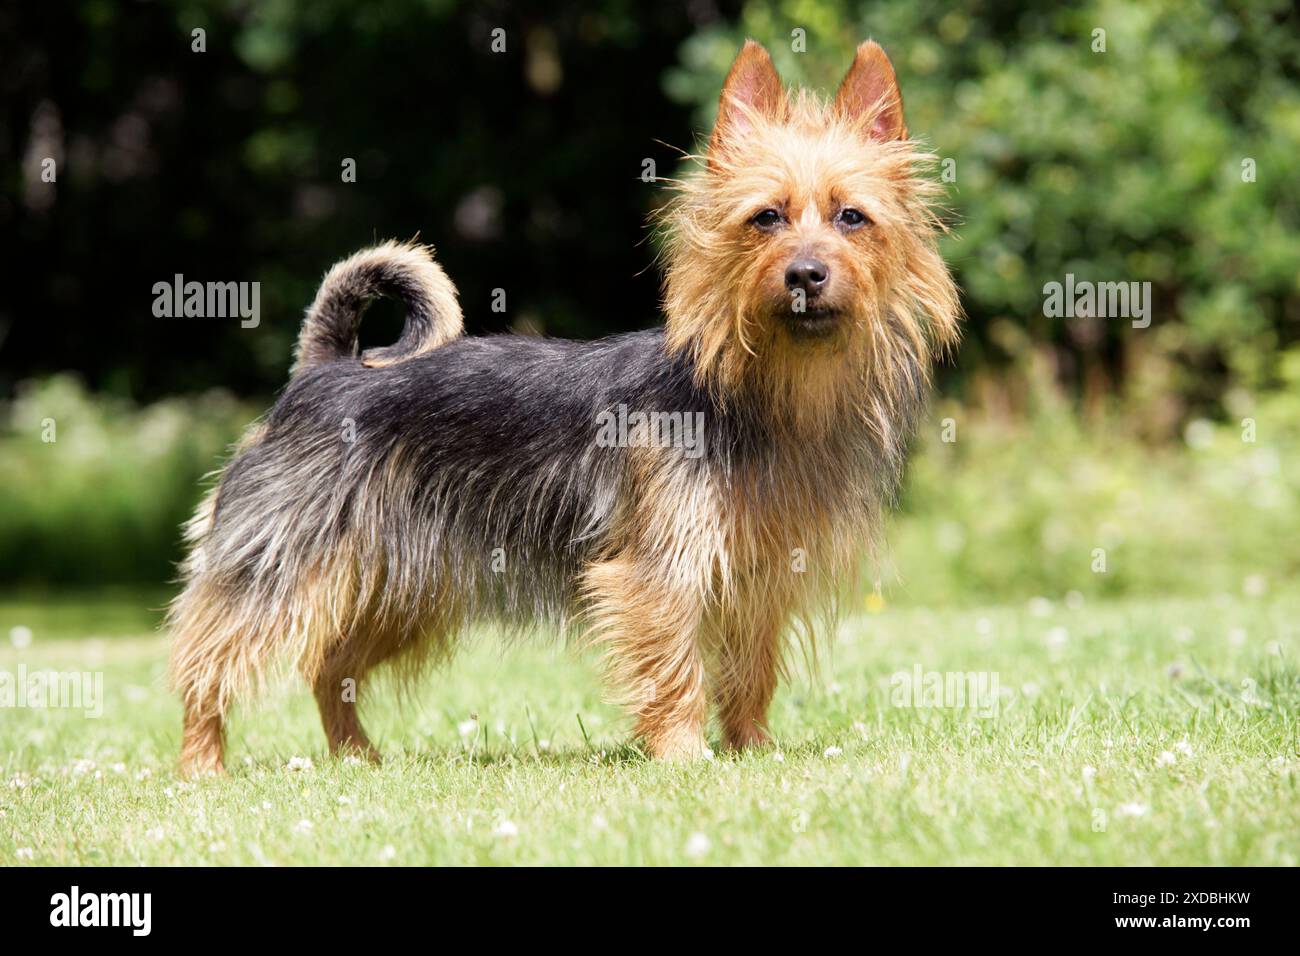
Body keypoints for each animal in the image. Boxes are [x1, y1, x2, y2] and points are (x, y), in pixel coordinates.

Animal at [167, 39, 961, 780]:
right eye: (765, 218)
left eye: (853, 218)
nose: (805, 273)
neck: (771, 394)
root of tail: (326, 368)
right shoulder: (657, 570)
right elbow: (674, 665)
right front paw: (683, 756)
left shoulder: (760, 574)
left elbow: (751, 668)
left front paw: (751, 748)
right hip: (277, 568)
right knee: (207, 662)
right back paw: (202, 763)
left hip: (405, 590)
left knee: (330, 667)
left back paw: (357, 758)